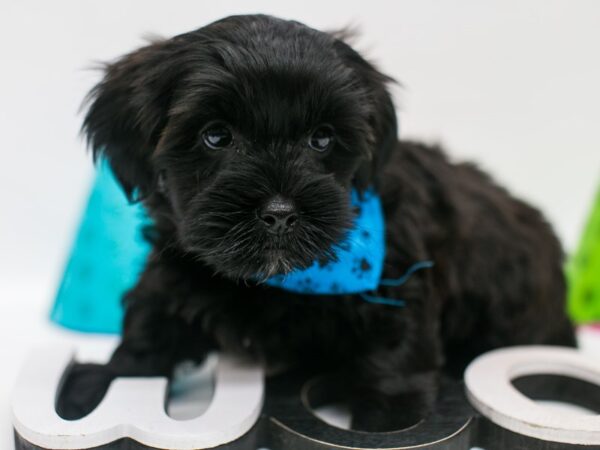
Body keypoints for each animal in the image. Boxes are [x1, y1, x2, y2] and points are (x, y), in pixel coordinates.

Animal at [59, 14, 576, 432]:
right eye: (215, 136)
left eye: (322, 139)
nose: (280, 213)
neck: (276, 280)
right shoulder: (180, 263)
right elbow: (150, 326)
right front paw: (100, 384)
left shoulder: (398, 285)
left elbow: (396, 358)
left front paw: (390, 422)